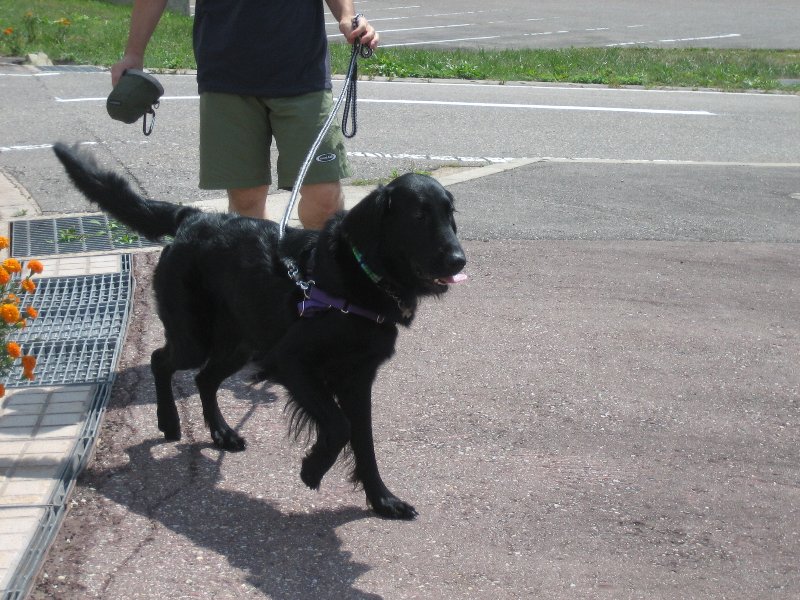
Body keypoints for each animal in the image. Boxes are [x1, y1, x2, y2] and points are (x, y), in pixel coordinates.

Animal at [53, 143, 466, 519]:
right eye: (418, 215)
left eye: (450, 215)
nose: (459, 260)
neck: (359, 277)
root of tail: (192, 218)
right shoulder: (291, 362)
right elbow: (338, 426)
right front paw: (312, 469)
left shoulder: (358, 378)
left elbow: (363, 441)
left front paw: (383, 501)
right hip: (196, 337)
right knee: (160, 360)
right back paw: (169, 422)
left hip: (240, 343)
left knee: (204, 379)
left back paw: (221, 433)